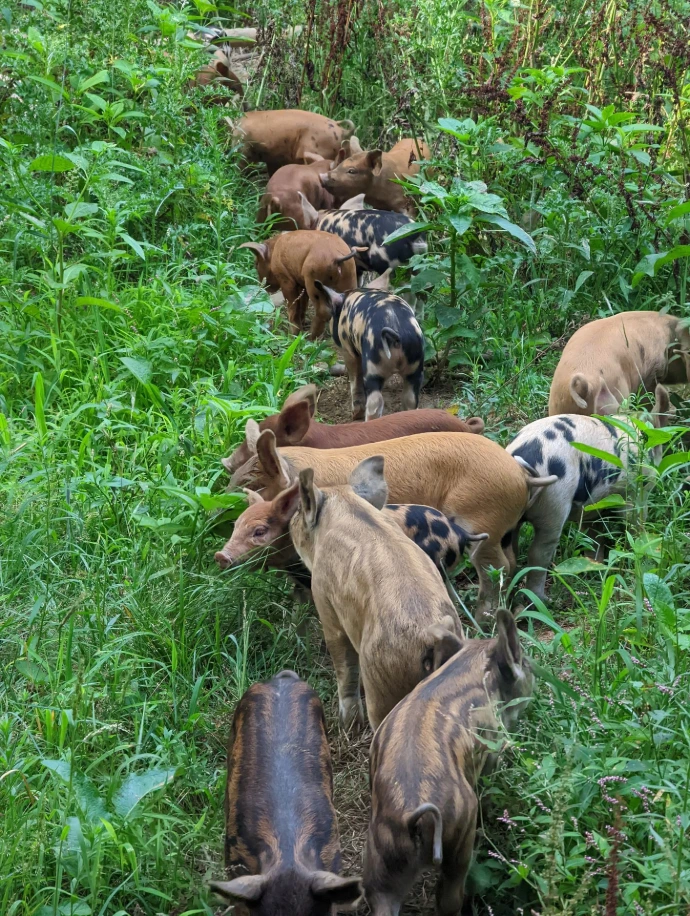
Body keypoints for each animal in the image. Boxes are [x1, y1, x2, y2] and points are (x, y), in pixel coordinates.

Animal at [228, 429, 556, 623]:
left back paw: (484, 616)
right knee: (511, 562)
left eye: (253, 486)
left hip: (481, 516)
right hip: (504, 527)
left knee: (496, 566)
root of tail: (519, 474)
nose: (221, 554)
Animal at [289, 456, 465, 729]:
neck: (346, 505)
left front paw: (347, 725)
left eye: (298, 511)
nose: (289, 524)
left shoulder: (325, 602)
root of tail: (434, 637)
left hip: (383, 686)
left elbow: (343, 665)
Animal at [313, 283, 424, 421]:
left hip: (373, 366)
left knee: (375, 402)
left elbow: (355, 377)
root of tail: (395, 333)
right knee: (410, 399)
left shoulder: (347, 349)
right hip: (415, 367)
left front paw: (355, 415)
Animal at [363, 611, 534, 916]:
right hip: (458, 841)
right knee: (449, 897)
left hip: (380, 864)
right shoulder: (491, 752)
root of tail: (411, 817)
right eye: (524, 662)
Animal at [507, 384, 674, 601]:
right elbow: (635, 524)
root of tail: (523, 462)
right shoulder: (635, 492)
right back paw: (543, 600)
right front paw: (642, 550)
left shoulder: (592, 505)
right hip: (554, 501)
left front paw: (596, 566)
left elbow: (593, 536)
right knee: (538, 552)